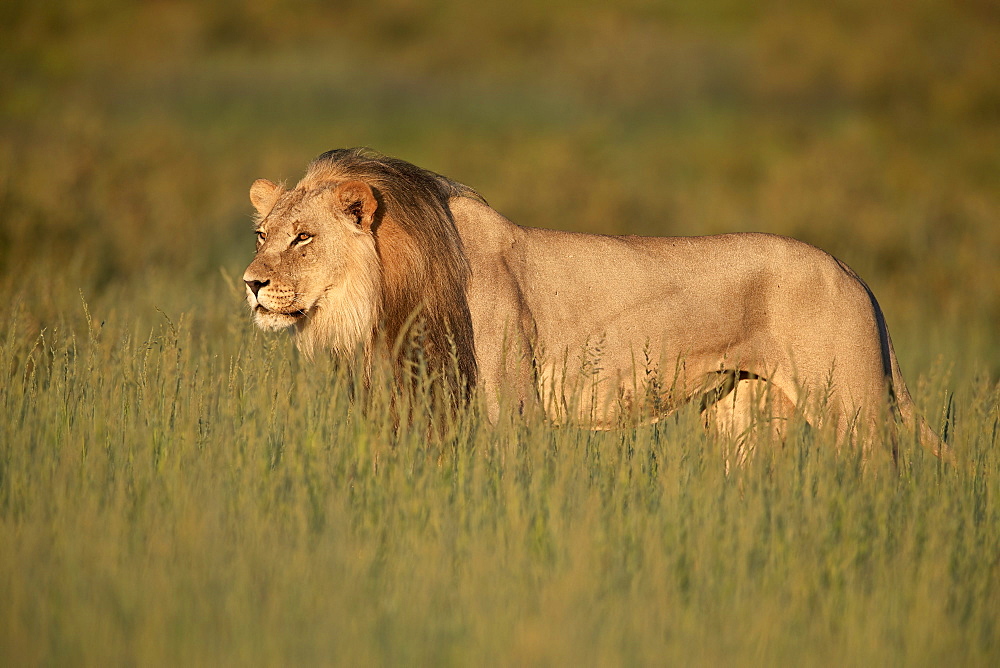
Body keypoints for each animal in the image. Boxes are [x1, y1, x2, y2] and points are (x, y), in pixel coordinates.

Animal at [242, 146, 952, 462]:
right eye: (261, 235)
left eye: (303, 238)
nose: (250, 284)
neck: (387, 295)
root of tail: (855, 275)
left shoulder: (509, 407)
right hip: (742, 415)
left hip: (852, 409)